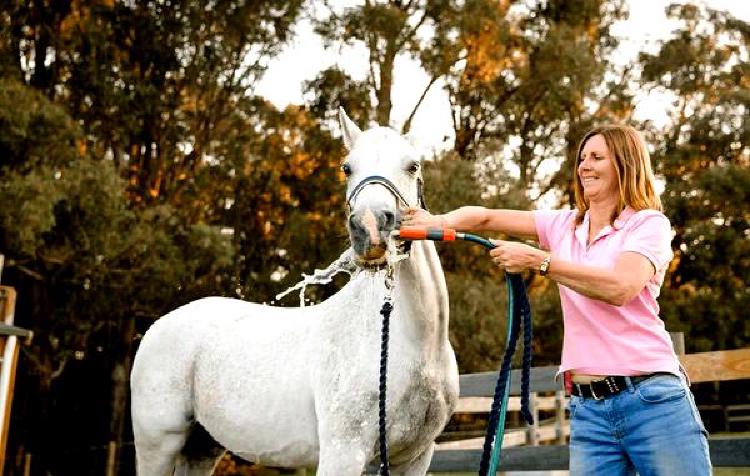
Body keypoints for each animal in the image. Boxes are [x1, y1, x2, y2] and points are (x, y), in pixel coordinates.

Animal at [131, 109, 458, 476]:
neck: (415, 344)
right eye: (347, 167)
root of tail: (158, 326)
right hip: (158, 446)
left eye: (412, 165)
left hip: (202, 448)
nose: (370, 228)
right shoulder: (343, 454)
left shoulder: (415, 457)